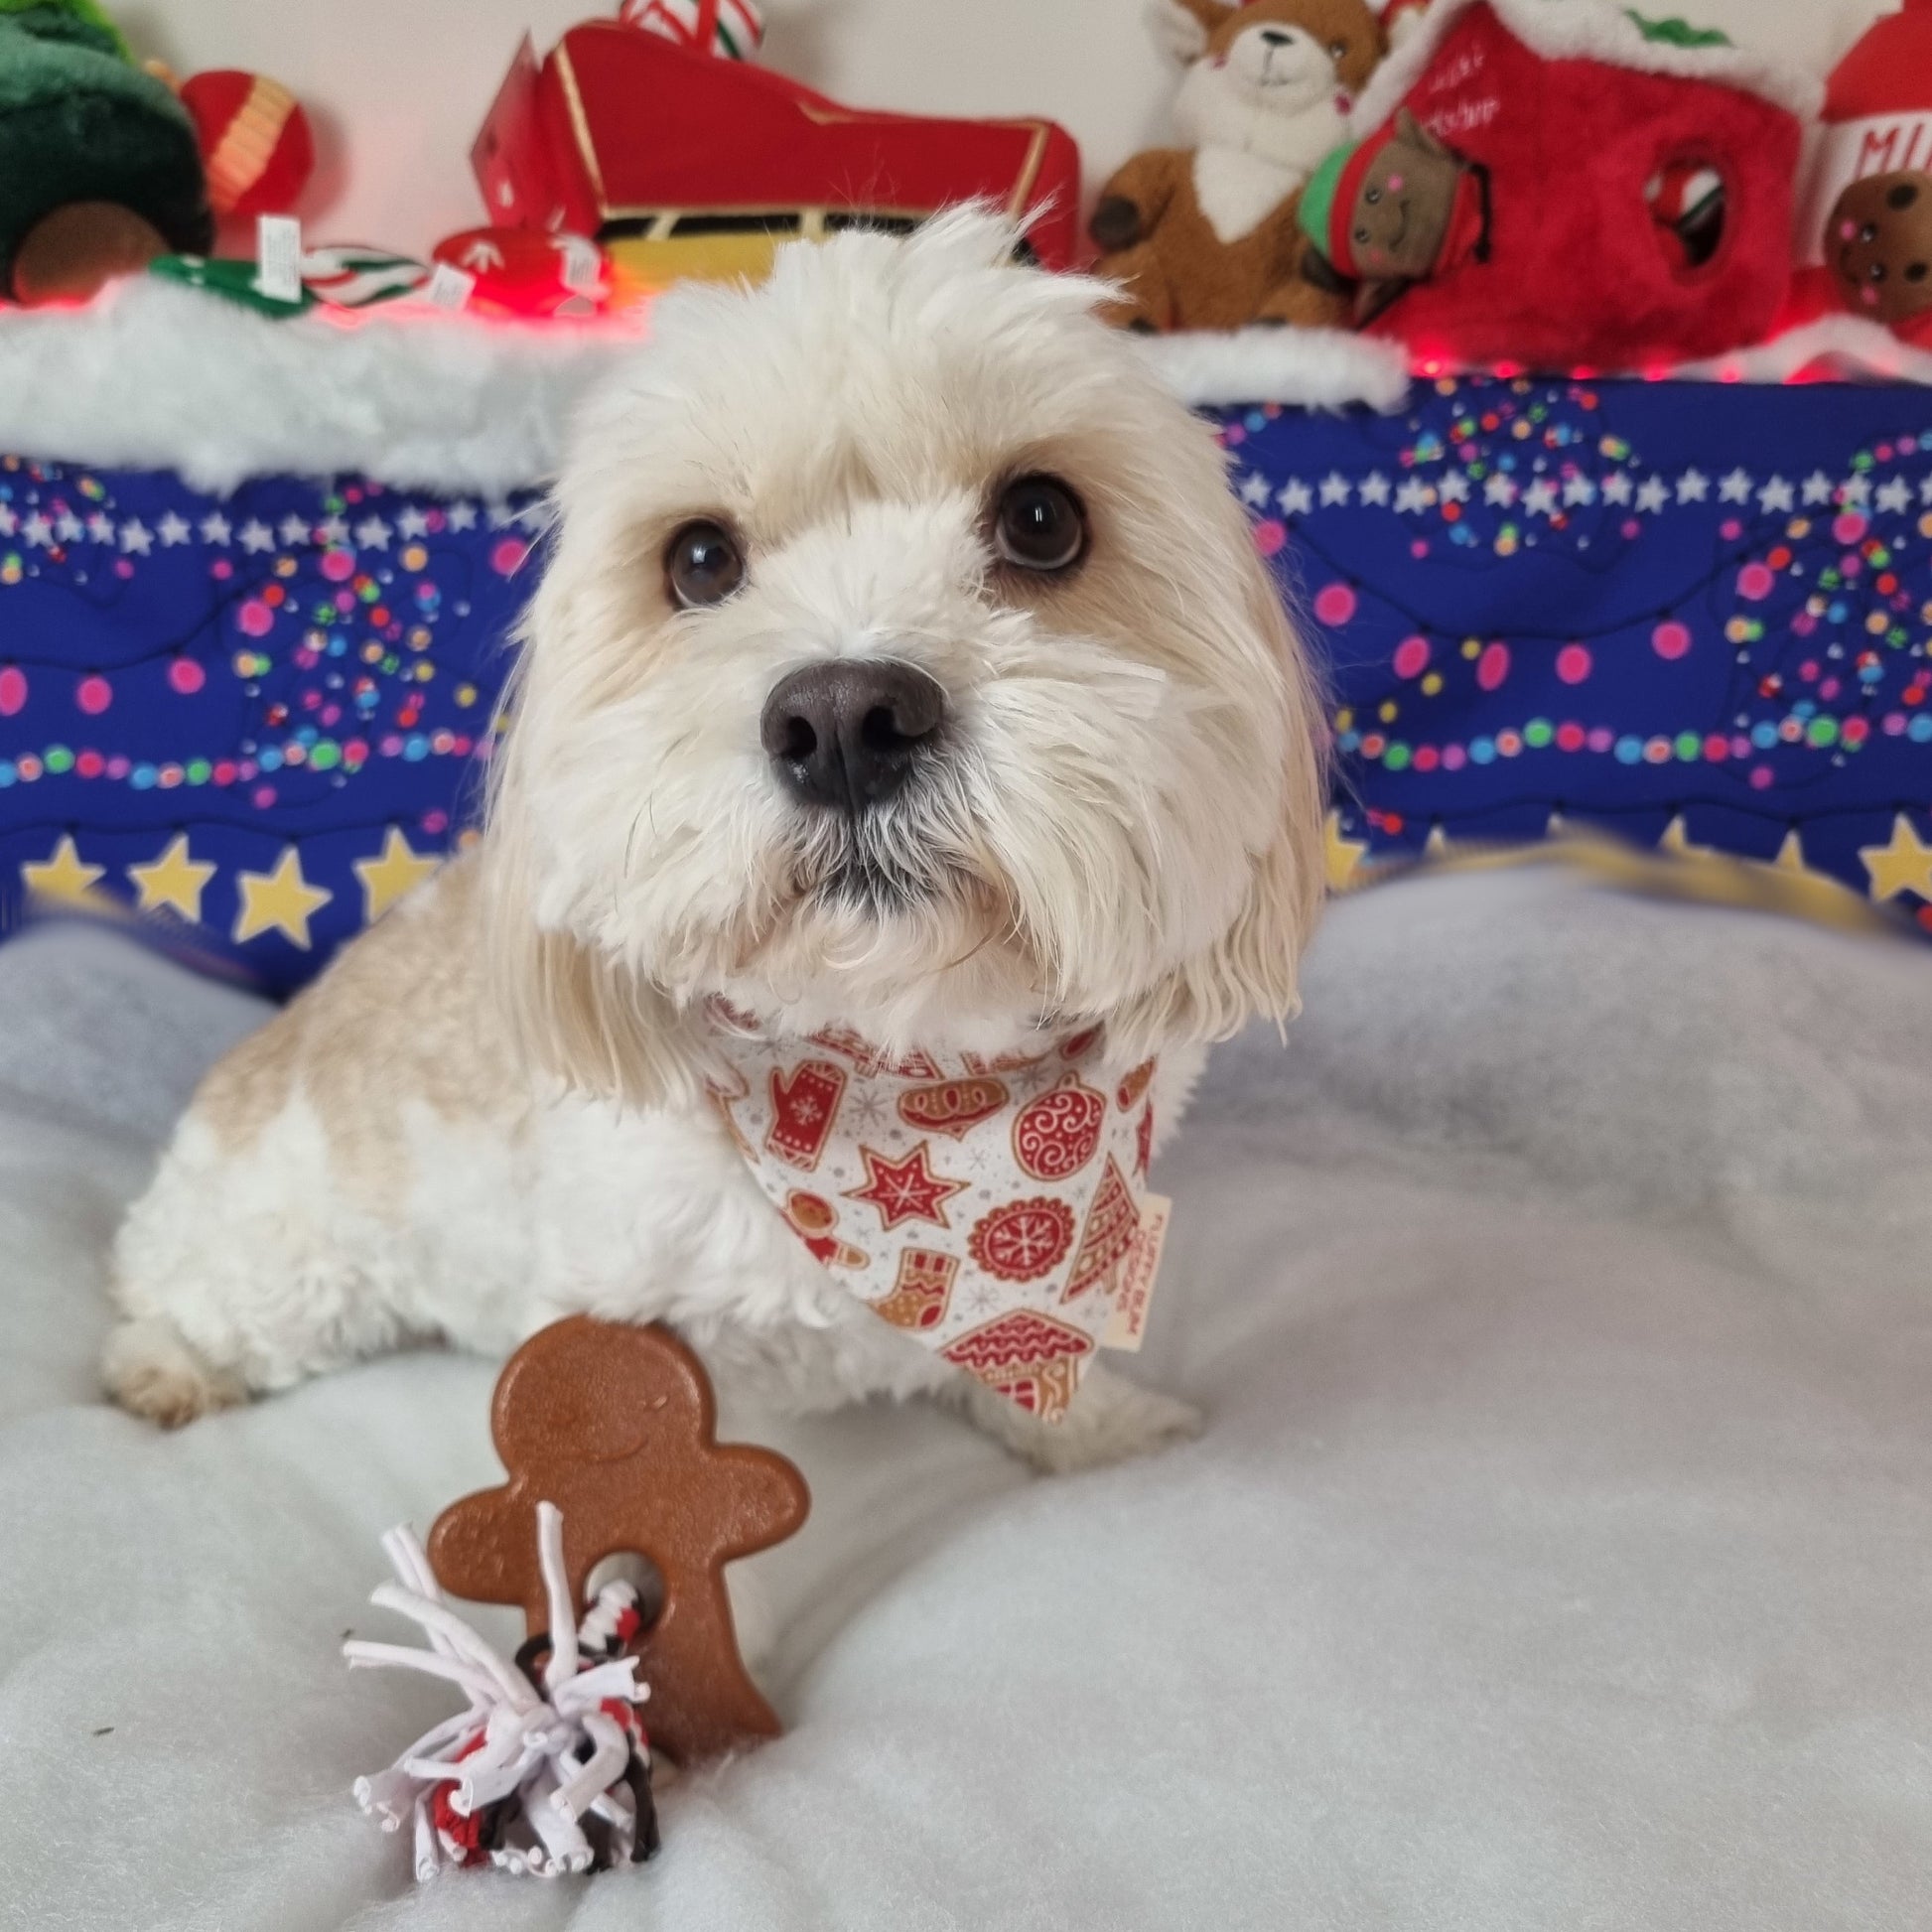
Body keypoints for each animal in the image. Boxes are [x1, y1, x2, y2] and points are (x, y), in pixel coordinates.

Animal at [101, 211, 1328, 1467]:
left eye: (1042, 518)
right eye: (697, 559)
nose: (843, 719)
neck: (894, 1086)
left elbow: (1033, 1359)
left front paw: (1104, 1430)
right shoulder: (614, 1306)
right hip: (279, 1261)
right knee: (183, 1299)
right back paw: (166, 1365)